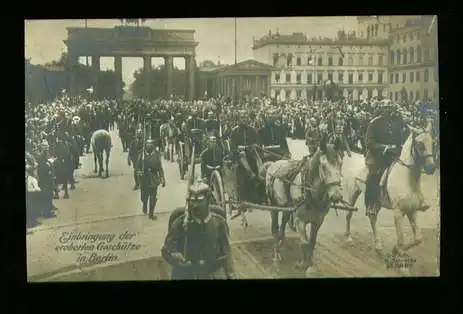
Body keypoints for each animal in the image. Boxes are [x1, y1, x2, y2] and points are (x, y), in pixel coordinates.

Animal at [262, 137, 342, 274]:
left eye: (340, 164)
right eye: (323, 166)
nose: (336, 196)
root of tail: (273, 164)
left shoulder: (318, 221)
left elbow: (312, 242)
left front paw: (310, 263)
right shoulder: (299, 220)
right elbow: (305, 243)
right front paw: (303, 264)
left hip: (287, 206)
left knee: (284, 221)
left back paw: (282, 240)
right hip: (273, 204)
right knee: (275, 226)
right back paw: (276, 251)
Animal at [344, 121, 438, 274]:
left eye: (433, 143)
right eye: (419, 144)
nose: (431, 167)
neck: (407, 179)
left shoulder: (412, 211)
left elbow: (418, 238)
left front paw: (395, 252)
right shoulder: (398, 213)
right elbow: (401, 239)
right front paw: (402, 265)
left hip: (376, 202)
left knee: (372, 218)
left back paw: (378, 247)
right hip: (353, 193)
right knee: (349, 213)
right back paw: (348, 237)